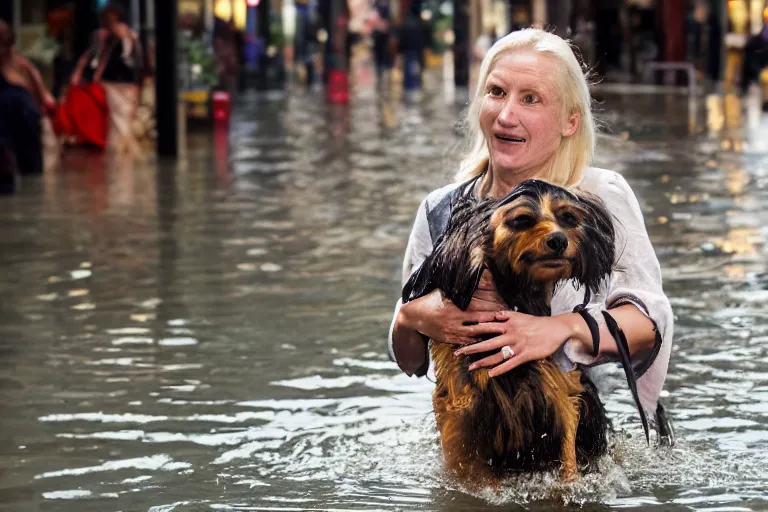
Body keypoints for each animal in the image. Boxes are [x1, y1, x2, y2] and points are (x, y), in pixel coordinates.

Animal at [404, 181, 616, 488]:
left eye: (568, 218)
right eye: (521, 220)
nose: (559, 240)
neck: (518, 299)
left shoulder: (562, 395)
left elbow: (567, 467)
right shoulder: (461, 411)